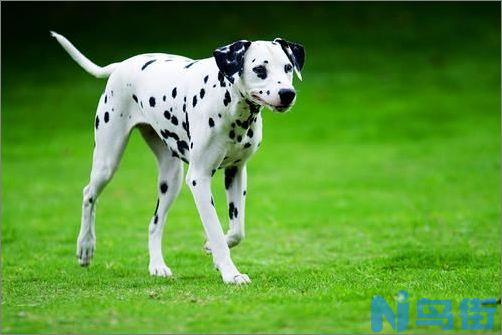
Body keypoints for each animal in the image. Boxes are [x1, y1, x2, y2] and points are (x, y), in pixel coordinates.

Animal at [53, 31, 306, 284]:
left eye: (287, 67)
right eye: (260, 69)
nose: (287, 94)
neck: (230, 104)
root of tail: (122, 65)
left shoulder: (236, 172)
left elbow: (237, 230)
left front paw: (212, 249)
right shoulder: (199, 179)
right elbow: (215, 229)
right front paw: (230, 273)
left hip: (171, 180)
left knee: (155, 223)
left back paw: (157, 266)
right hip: (107, 162)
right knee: (89, 194)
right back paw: (85, 246)